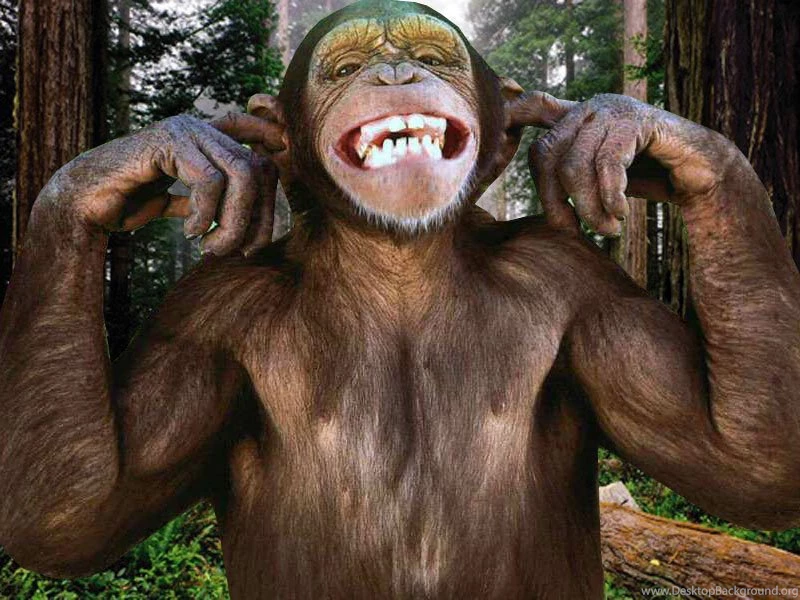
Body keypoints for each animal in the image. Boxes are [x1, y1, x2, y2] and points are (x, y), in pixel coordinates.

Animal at [1, 0, 799, 598]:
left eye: (435, 58)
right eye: (345, 69)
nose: (393, 71)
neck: (399, 266)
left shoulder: (580, 284)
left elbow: (742, 461)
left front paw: (618, 125)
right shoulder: (207, 316)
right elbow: (72, 510)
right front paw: (158, 154)